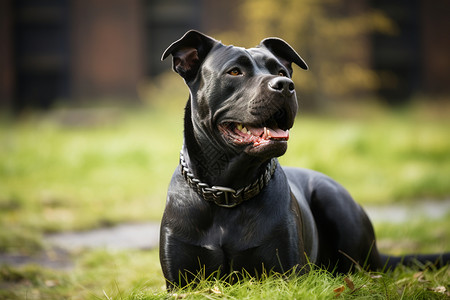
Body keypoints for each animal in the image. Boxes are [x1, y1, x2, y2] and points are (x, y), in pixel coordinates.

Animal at [158, 29, 446, 288]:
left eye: (281, 72)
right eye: (234, 72)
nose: (284, 86)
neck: (228, 191)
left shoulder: (284, 275)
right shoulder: (182, 283)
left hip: (336, 203)